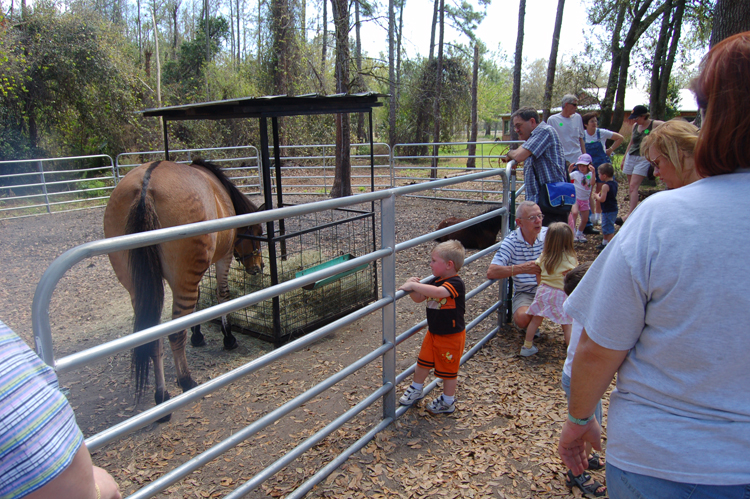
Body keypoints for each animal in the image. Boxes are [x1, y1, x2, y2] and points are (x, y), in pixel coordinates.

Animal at [103, 159, 264, 418]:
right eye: (258, 233)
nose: (258, 267)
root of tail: (146, 185)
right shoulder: (223, 258)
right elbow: (222, 296)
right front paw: (227, 337)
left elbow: (197, 304)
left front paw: (197, 336)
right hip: (183, 278)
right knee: (174, 333)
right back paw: (185, 381)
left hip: (140, 287)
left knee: (154, 337)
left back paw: (162, 396)